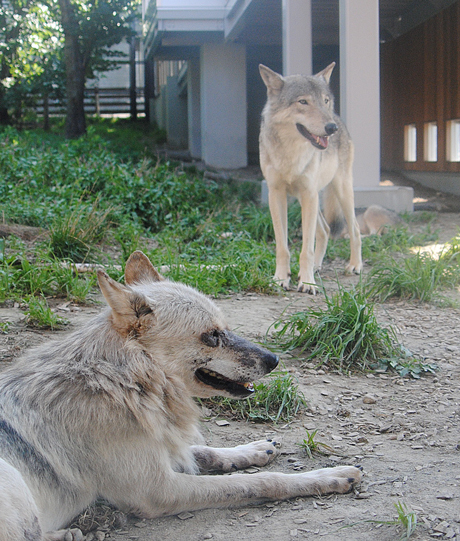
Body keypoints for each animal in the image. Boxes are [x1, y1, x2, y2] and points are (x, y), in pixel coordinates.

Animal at [0, 252, 362, 540]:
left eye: (226, 328)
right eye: (212, 336)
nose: (274, 360)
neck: (124, 382)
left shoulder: (163, 448)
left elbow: (207, 451)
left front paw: (255, 449)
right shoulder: (158, 490)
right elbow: (260, 482)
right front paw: (328, 476)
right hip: (13, 480)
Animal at [258, 62, 362, 296]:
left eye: (324, 100)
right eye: (303, 102)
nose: (331, 128)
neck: (290, 154)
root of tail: (338, 117)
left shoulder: (309, 193)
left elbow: (306, 249)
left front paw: (307, 283)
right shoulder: (276, 195)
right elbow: (283, 247)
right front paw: (281, 279)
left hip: (339, 191)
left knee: (354, 228)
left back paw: (355, 265)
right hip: (306, 199)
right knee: (324, 230)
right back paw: (316, 266)